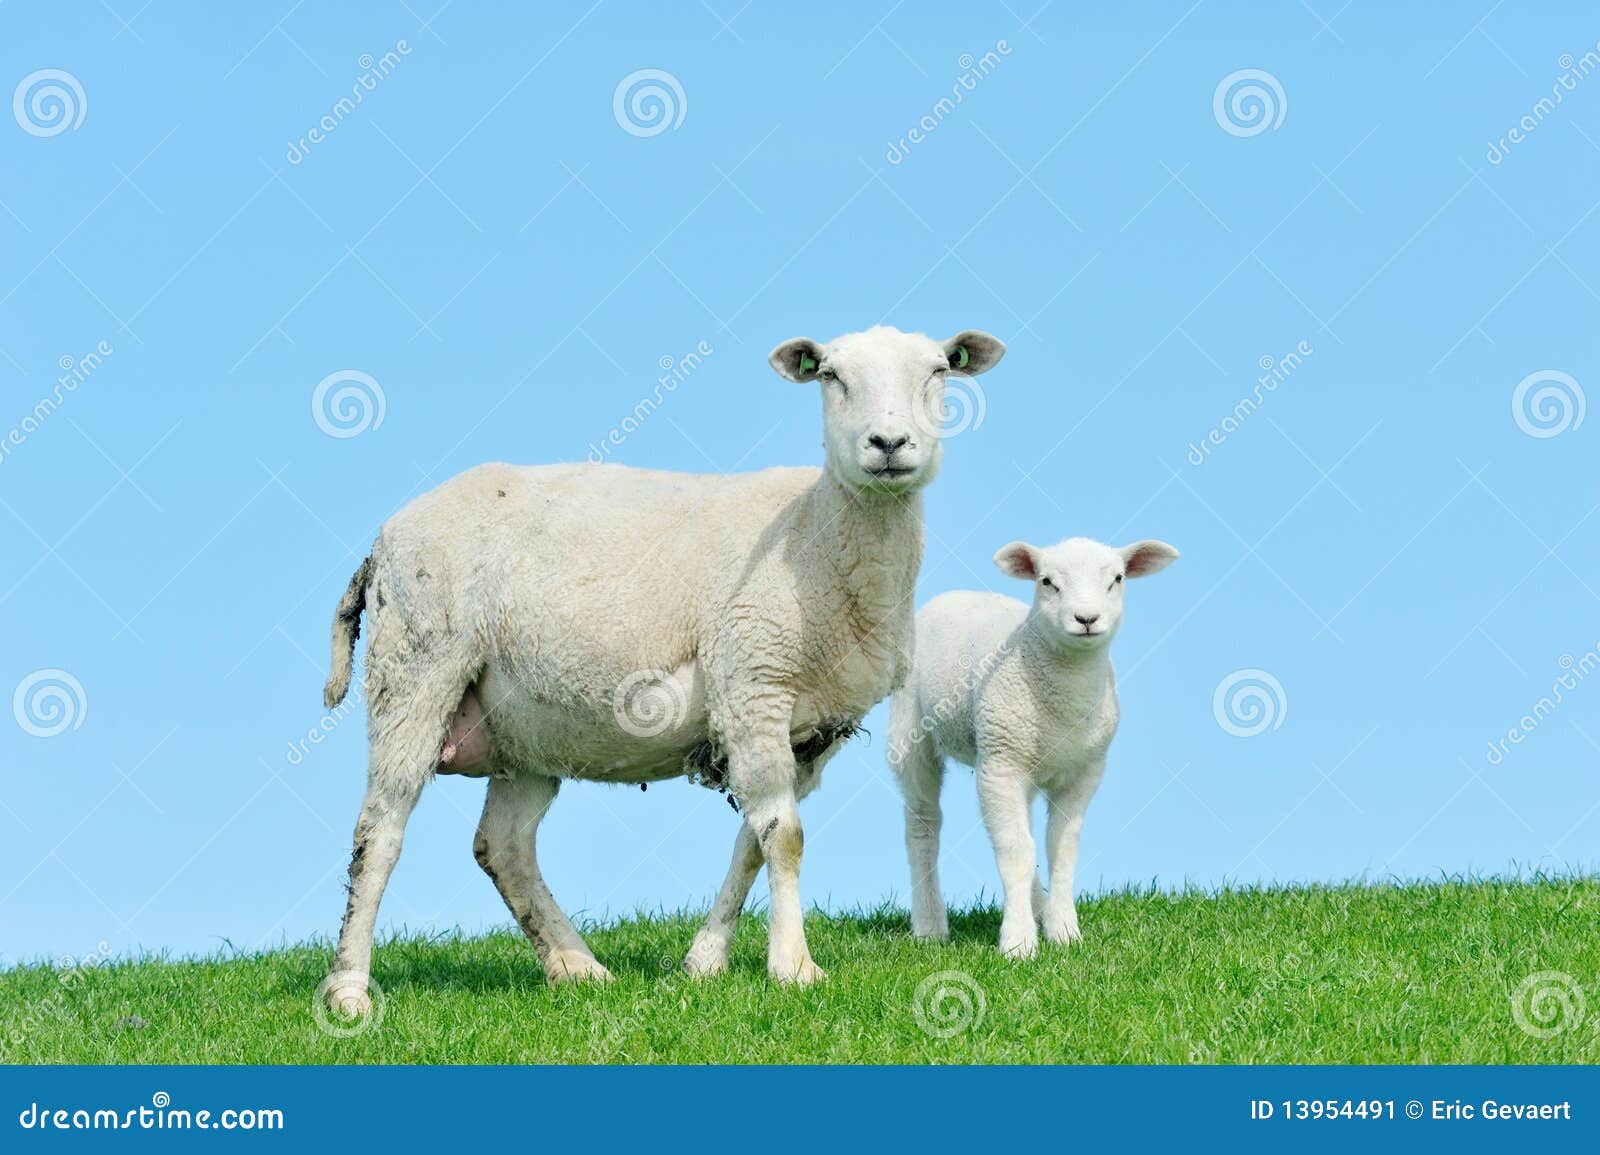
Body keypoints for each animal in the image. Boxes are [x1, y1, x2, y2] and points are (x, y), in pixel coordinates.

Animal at [319, 325, 1006, 1013]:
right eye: (831, 375)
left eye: (939, 371)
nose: (889, 444)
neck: (815, 530)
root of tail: (385, 538)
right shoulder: (754, 684)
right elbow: (785, 838)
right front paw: (793, 967)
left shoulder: (813, 727)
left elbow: (754, 841)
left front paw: (706, 961)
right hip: (417, 666)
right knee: (378, 834)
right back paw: (348, 991)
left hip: (526, 724)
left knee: (503, 846)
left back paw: (577, 967)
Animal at [886, 536, 1177, 958]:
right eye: (1047, 581)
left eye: (1118, 579)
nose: (1086, 619)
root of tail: (952, 595)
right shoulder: (999, 767)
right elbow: (1015, 853)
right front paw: (1018, 942)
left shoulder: (1085, 771)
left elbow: (1059, 849)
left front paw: (1064, 931)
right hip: (911, 737)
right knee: (923, 827)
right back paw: (929, 925)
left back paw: (1038, 907)